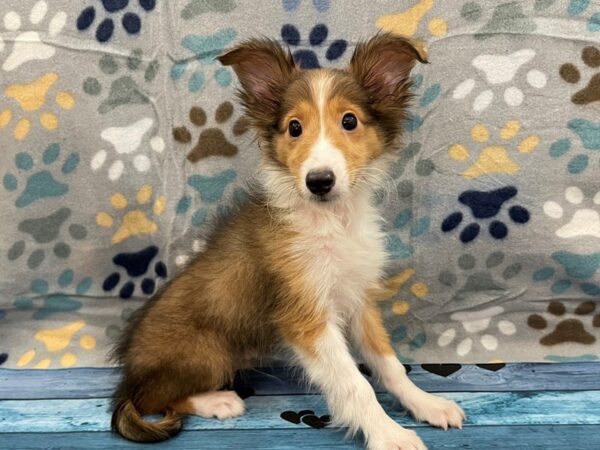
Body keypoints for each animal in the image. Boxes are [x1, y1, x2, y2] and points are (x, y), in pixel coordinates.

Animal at [112, 34, 464, 450]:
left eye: (349, 121)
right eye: (294, 127)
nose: (319, 181)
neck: (331, 221)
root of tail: (128, 373)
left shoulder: (358, 300)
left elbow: (389, 364)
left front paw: (426, 404)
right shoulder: (305, 318)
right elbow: (356, 385)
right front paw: (389, 434)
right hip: (207, 352)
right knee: (153, 398)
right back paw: (217, 401)